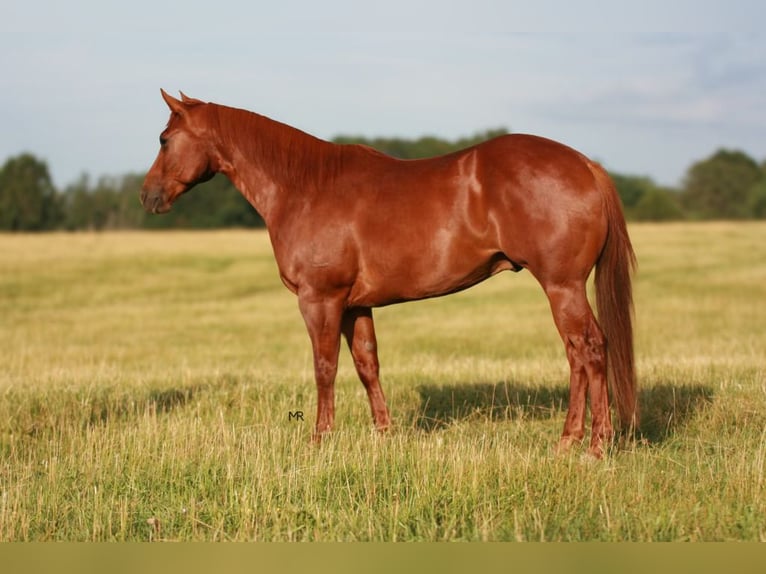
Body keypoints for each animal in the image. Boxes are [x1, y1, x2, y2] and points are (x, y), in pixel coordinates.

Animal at [141, 90, 637, 457]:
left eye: (164, 139)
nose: (148, 196)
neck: (306, 187)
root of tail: (585, 165)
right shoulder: (355, 305)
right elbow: (367, 365)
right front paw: (383, 435)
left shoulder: (320, 299)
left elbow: (325, 367)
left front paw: (319, 440)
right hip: (563, 289)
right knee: (577, 355)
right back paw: (568, 441)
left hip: (562, 286)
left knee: (589, 349)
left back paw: (595, 447)